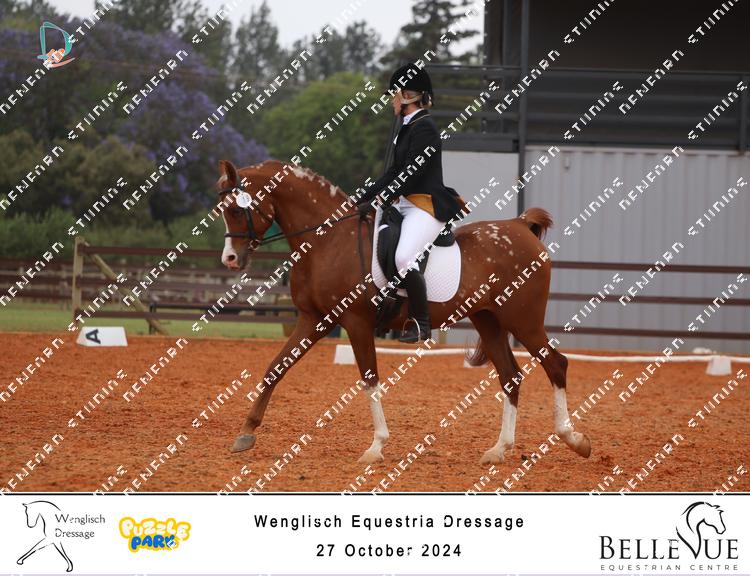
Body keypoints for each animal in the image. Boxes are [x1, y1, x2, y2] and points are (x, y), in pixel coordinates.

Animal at [215, 159, 591, 466]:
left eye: (235, 209)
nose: (230, 260)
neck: (328, 240)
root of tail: (520, 225)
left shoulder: (356, 323)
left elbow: (370, 380)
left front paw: (376, 447)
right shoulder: (314, 320)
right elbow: (275, 368)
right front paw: (246, 433)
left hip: (522, 320)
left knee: (556, 364)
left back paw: (575, 440)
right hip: (489, 321)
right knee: (511, 376)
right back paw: (499, 449)